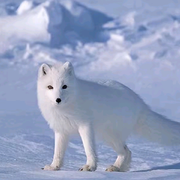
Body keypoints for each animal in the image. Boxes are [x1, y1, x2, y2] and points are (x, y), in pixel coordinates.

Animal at [37, 61, 180, 172]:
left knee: (126, 151)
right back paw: (119, 168)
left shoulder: (85, 126)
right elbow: (58, 152)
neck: (66, 108)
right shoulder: (61, 130)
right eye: (50, 87)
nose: (58, 99)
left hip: (110, 135)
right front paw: (54, 167)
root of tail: (140, 102)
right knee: (128, 151)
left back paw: (116, 168)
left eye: (64, 86)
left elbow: (88, 148)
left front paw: (90, 167)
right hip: (107, 136)